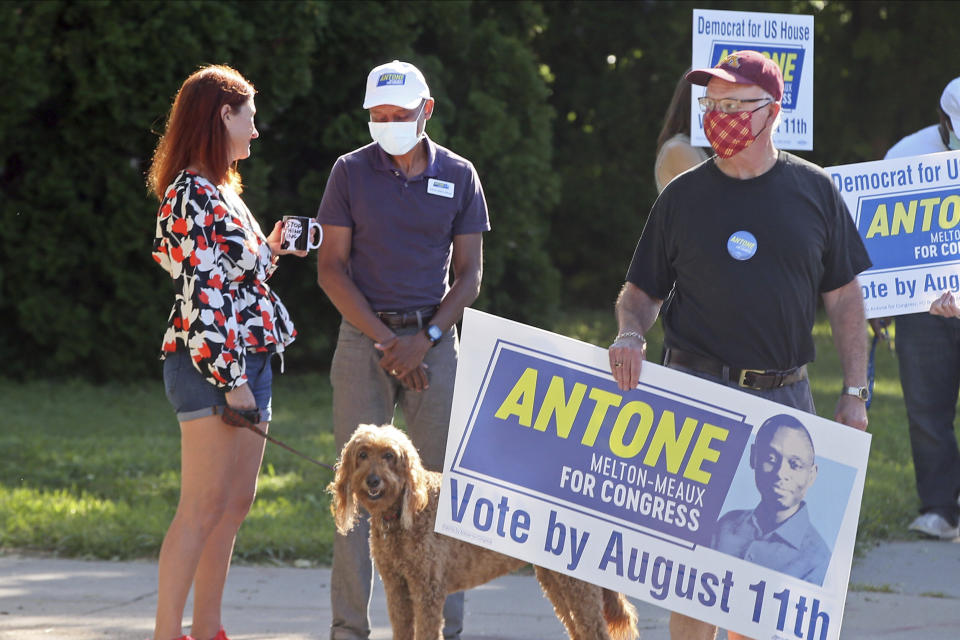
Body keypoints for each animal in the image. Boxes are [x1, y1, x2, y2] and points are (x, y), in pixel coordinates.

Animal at [330, 424, 636, 640]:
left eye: (389, 456)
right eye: (362, 454)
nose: (373, 480)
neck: (402, 515)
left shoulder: (428, 590)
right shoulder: (397, 588)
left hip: (575, 584)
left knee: (595, 631)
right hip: (555, 581)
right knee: (579, 630)